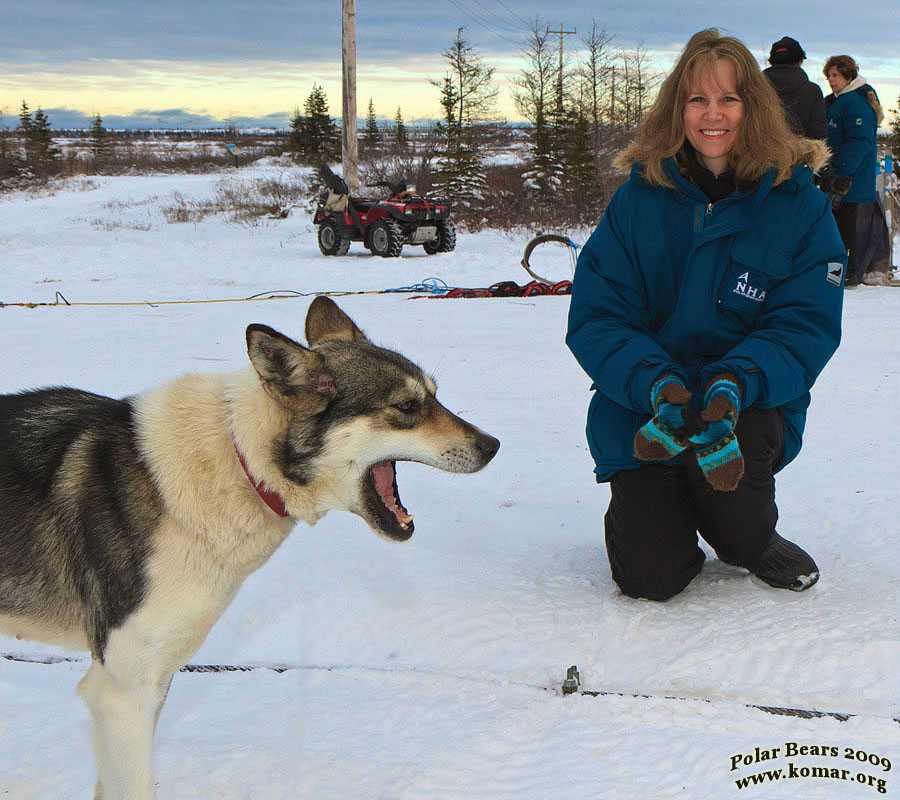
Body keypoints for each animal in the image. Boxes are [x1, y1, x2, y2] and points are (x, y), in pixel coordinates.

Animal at [0, 298, 500, 800]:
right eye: (407, 406)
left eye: (435, 395)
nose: (493, 445)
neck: (240, 460)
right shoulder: (124, 691)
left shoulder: (149, 683)